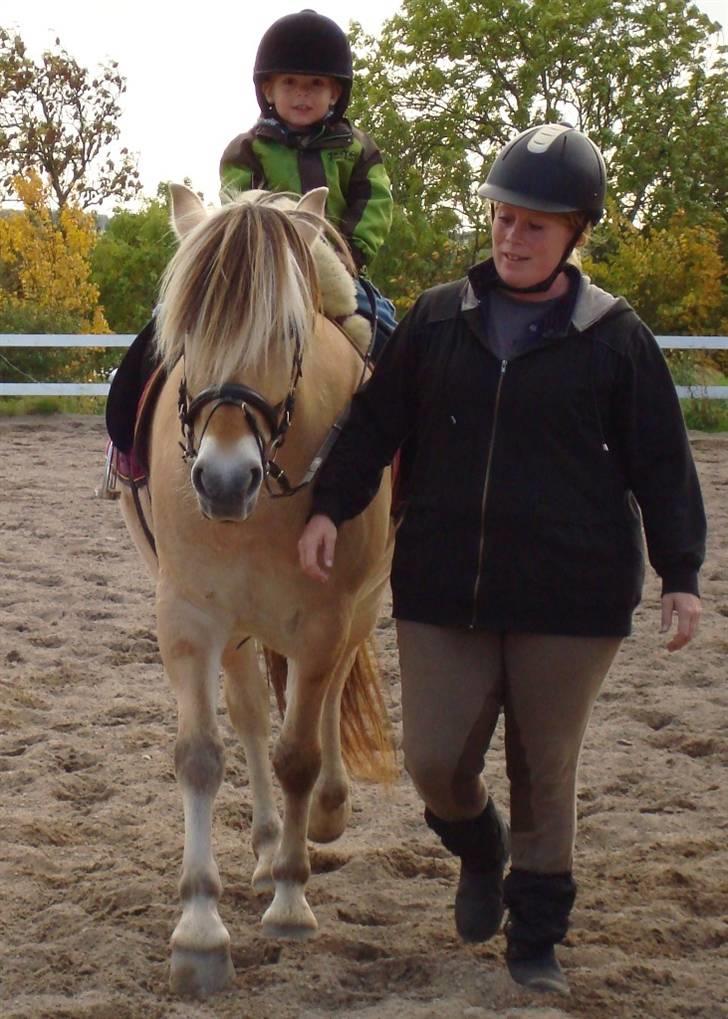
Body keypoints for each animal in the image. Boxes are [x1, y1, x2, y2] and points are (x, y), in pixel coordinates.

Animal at [119, 183, 393, 994]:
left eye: (289, 331)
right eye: (184, 335)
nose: (222, 479)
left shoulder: (323, 621)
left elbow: (298, 752)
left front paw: (292, 905)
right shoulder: (187, 619)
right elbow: (203, 755)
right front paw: (200, 930)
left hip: (355, 612)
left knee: (325, 705)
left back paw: (319, 820)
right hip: (237, 629)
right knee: (248, 715)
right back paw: (270, 846)